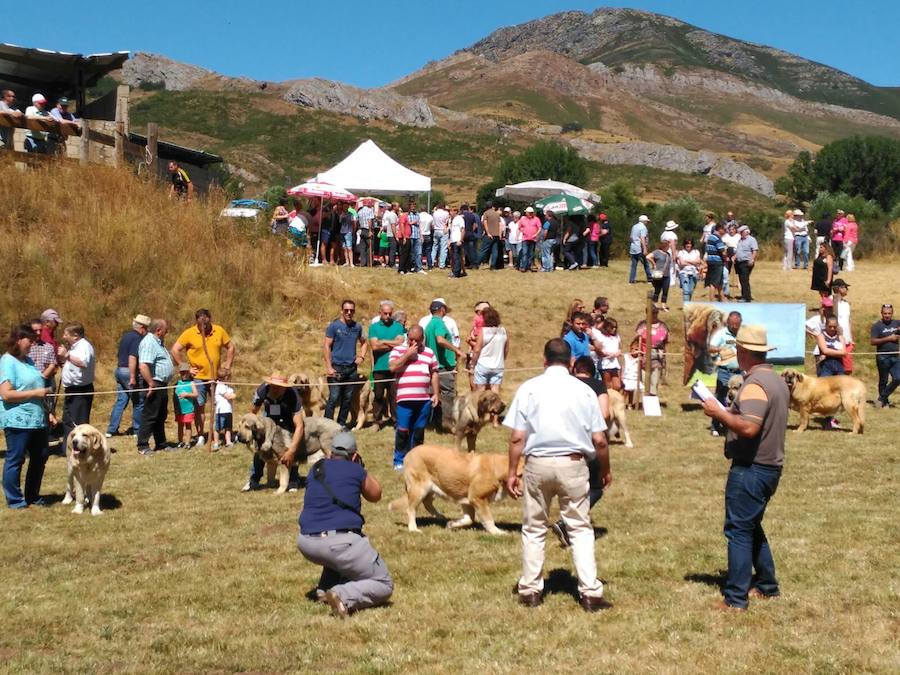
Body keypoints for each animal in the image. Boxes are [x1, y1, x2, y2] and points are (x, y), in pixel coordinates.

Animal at [388, 444, 528, 540]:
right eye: (521, 475)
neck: (498, 469)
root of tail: (410, 452)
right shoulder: (477, 498)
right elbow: (488, 519)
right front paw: (497, 532)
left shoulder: (467, 501)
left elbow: (469, 520)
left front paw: (452, 524)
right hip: (419, 489)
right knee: (411, 508)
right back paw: (413, 529)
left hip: (431, 489)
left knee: (427, 503)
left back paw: (440, 516)